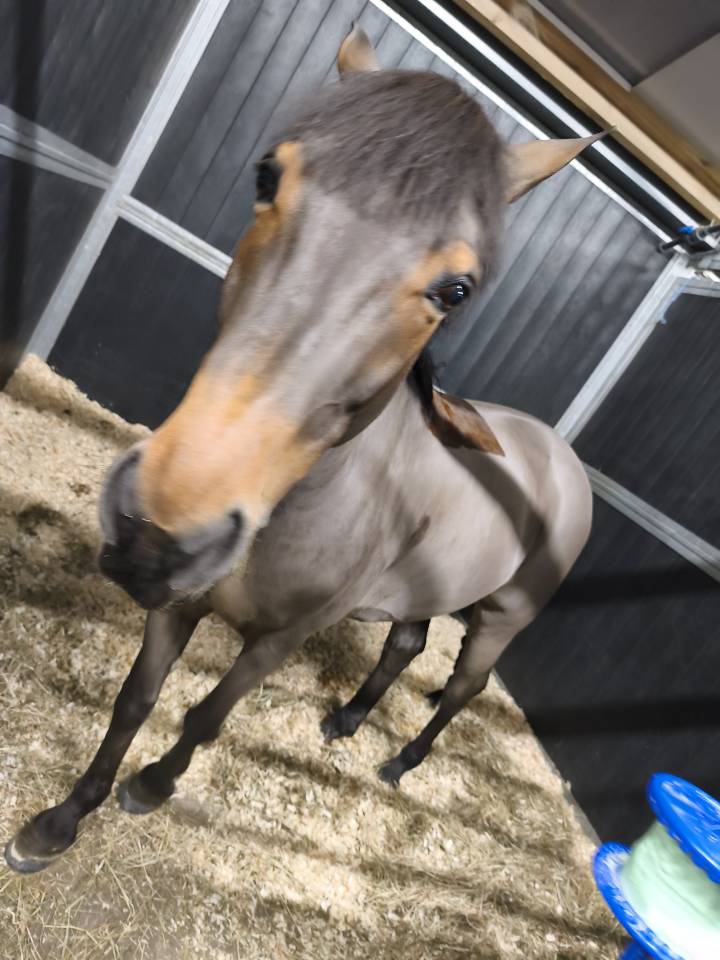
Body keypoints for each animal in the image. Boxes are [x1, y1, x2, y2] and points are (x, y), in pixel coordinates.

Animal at [6, 25, 597, 873]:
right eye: (267, 175)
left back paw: (399, 763)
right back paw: (346, 722)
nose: (162, 529)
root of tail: (564, 458)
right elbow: (134, 700)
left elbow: (206, 717)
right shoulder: (178, 603)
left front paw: (151, 787)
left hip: (501, 618)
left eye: (456, 290)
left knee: (461, 689)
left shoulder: (280, 639)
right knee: (405, 644)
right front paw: (59, 822)